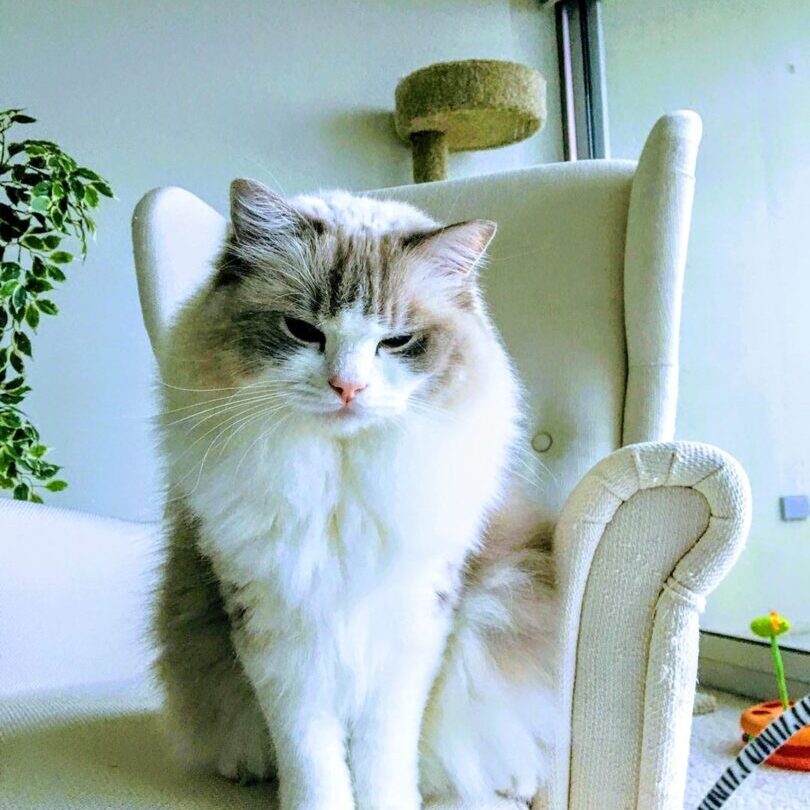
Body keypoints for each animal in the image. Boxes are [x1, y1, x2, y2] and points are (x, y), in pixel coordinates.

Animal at [153, 178, 556, 808]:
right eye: (303, 331)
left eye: (397, 341)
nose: (348, 388)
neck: (338, 489)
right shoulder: (276, 639)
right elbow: (312, 760)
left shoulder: (410, 630)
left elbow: (382, 755)